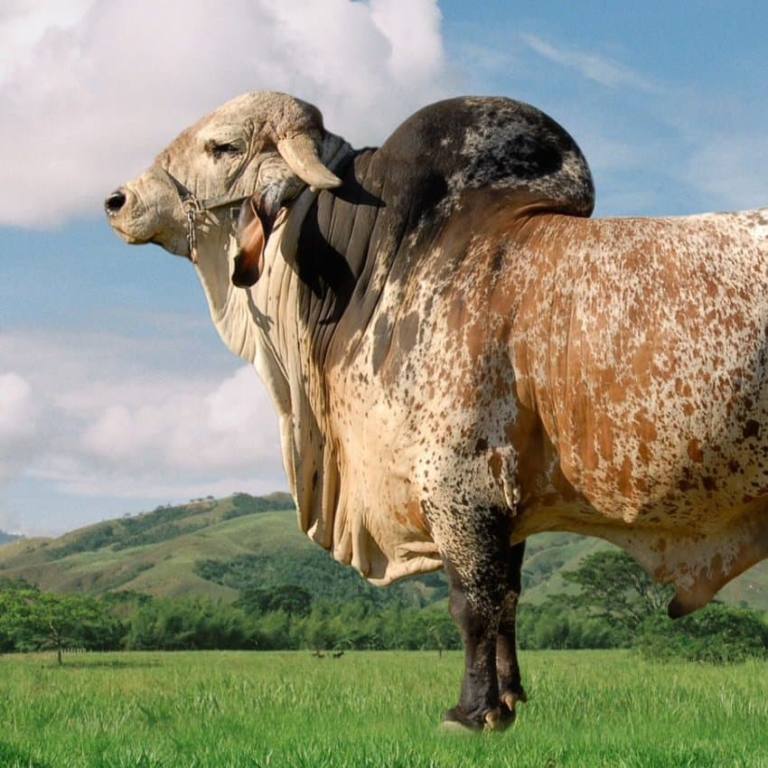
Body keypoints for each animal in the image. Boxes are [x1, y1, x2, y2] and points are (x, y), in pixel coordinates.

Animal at [106, 91, 768, 732]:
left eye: (222, 146)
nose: (118, 200)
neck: (380, 262)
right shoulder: (504, 503)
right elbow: (507, 601)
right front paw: (510, 700)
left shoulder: (459, 485)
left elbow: (473, 604)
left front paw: (472, 713)